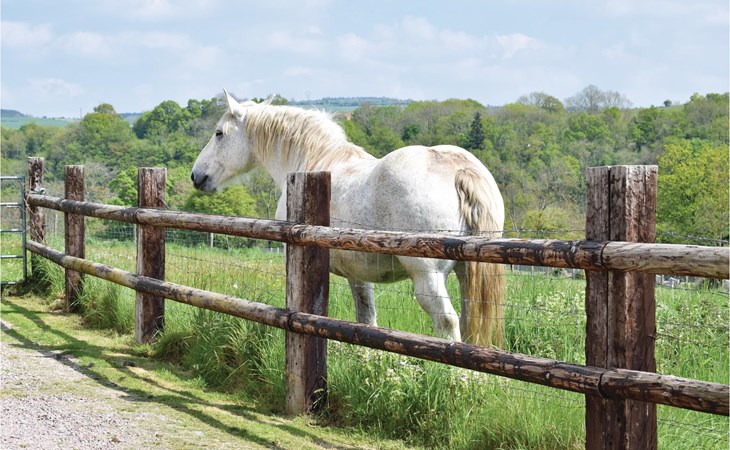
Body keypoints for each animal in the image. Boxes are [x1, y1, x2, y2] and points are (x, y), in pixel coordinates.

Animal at [191, 92, 506, 346]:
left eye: (219, 133)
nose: (196, 175)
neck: (313, 161)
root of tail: (458, 168)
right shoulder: (358, 273)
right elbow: (365, 318)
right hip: (467, 273)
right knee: (469, 322)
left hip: (428, 277)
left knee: (447, 322)